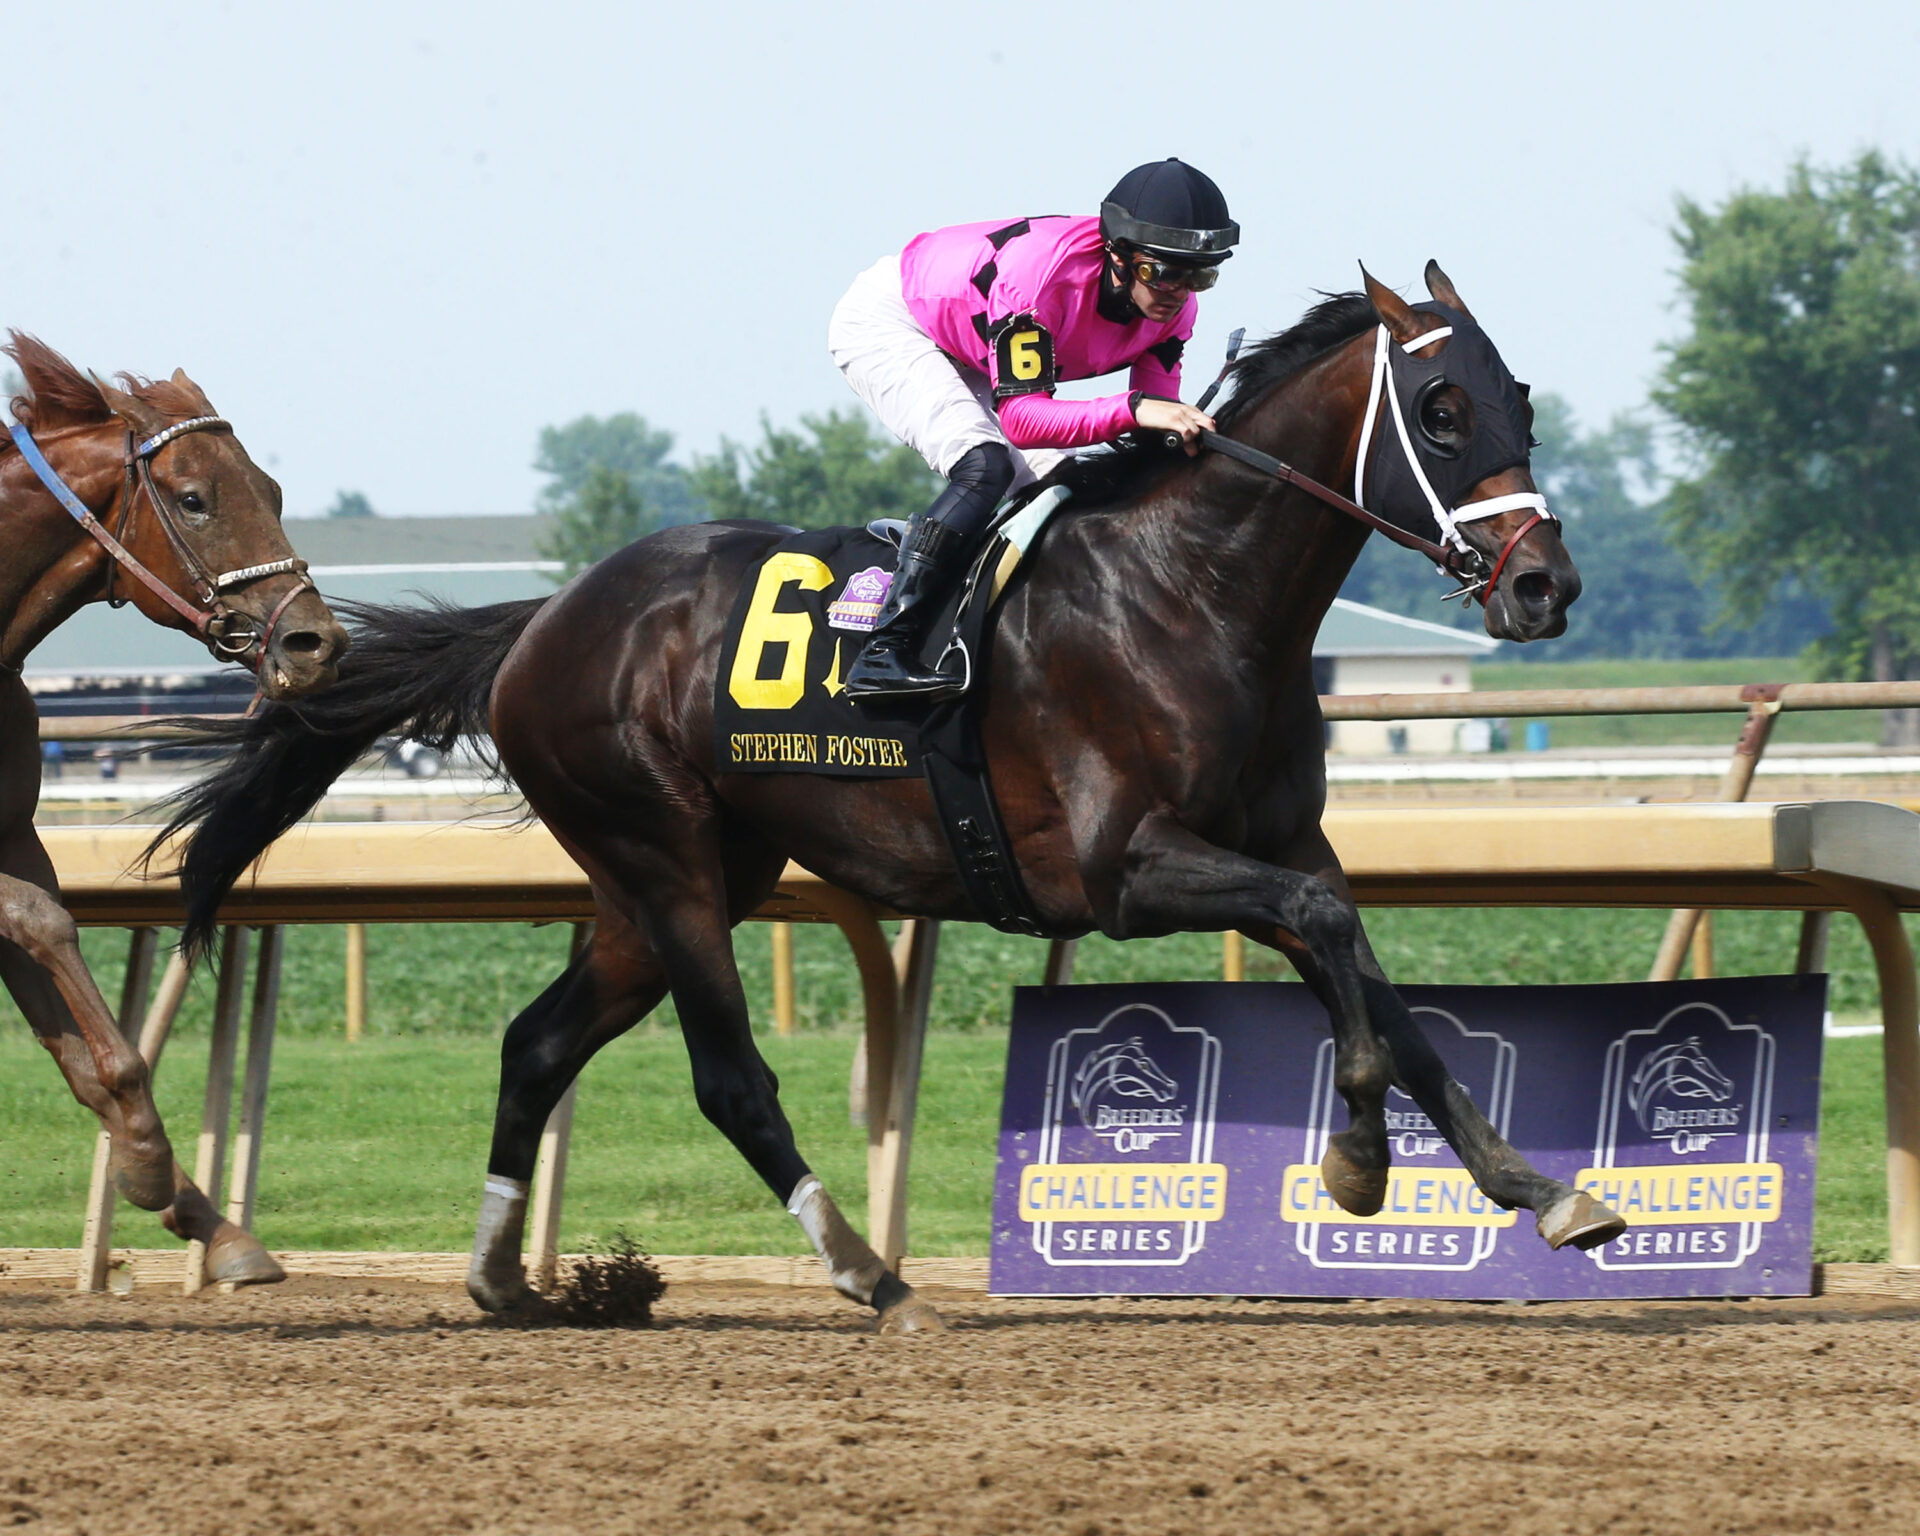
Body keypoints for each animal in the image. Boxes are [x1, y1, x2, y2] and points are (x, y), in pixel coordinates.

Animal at [2, 335, 347, 1283]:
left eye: (271, 488)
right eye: (193, 500)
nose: (315, 643)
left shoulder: (12, 837)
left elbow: (75, 1044)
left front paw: (206, 1217)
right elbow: (46, 928)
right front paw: (152, 1166)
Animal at [159, 264, 1626, 1328]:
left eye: (1522, 398)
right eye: (1442, 414)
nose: (1545, 585)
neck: (1188, 593)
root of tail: (541, 622)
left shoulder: (1276, 844)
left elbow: (1372, 972)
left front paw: (1538, 1189)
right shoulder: (1125, 867)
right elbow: (1329, 942)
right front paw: (1359, 1161)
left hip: (666, 883)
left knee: (534, 1042)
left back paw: (501, 1277)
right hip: (665, 860)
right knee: (728, 1078)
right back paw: (873, 1276)